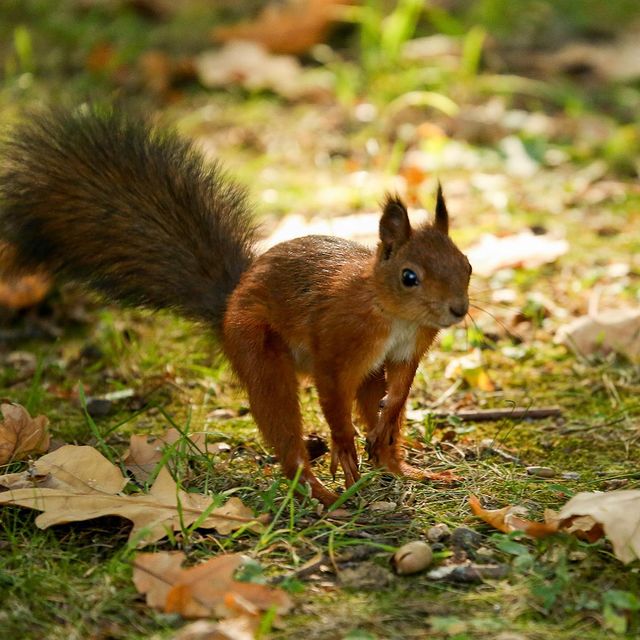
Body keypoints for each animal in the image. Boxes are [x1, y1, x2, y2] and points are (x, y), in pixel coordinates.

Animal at [0, 106, 472, 506]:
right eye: (409, 276)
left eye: (466, 263)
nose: (458, 310)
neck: (392, 314)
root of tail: (229, 302)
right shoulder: (337, 345)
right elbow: (333, 399)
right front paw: (342, 446)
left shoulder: (410, 348)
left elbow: (400, 387)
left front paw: (385, 422)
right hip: (258, 352)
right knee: (283, 426)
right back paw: (320, 491)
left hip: (365, 376)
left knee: (376, 414)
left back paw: (404, 465)